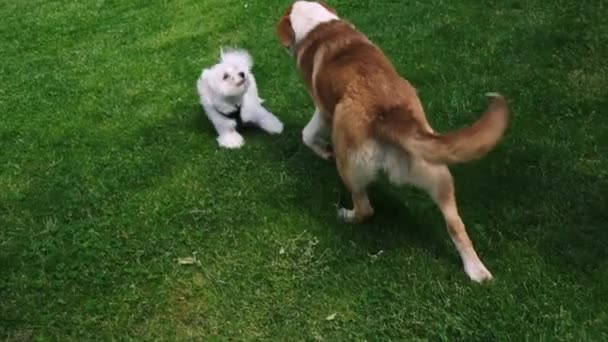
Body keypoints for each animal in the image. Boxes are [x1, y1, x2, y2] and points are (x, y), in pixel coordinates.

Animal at [278, 1, 510, 282]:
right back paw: (476, 271)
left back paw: (346, 215)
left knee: (365, 208)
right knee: (455, 224)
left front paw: (323, 151)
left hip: (349, 165)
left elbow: (307, 133)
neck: (319, 26)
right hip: (436, 172)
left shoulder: (323, 110)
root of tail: (390, 117)